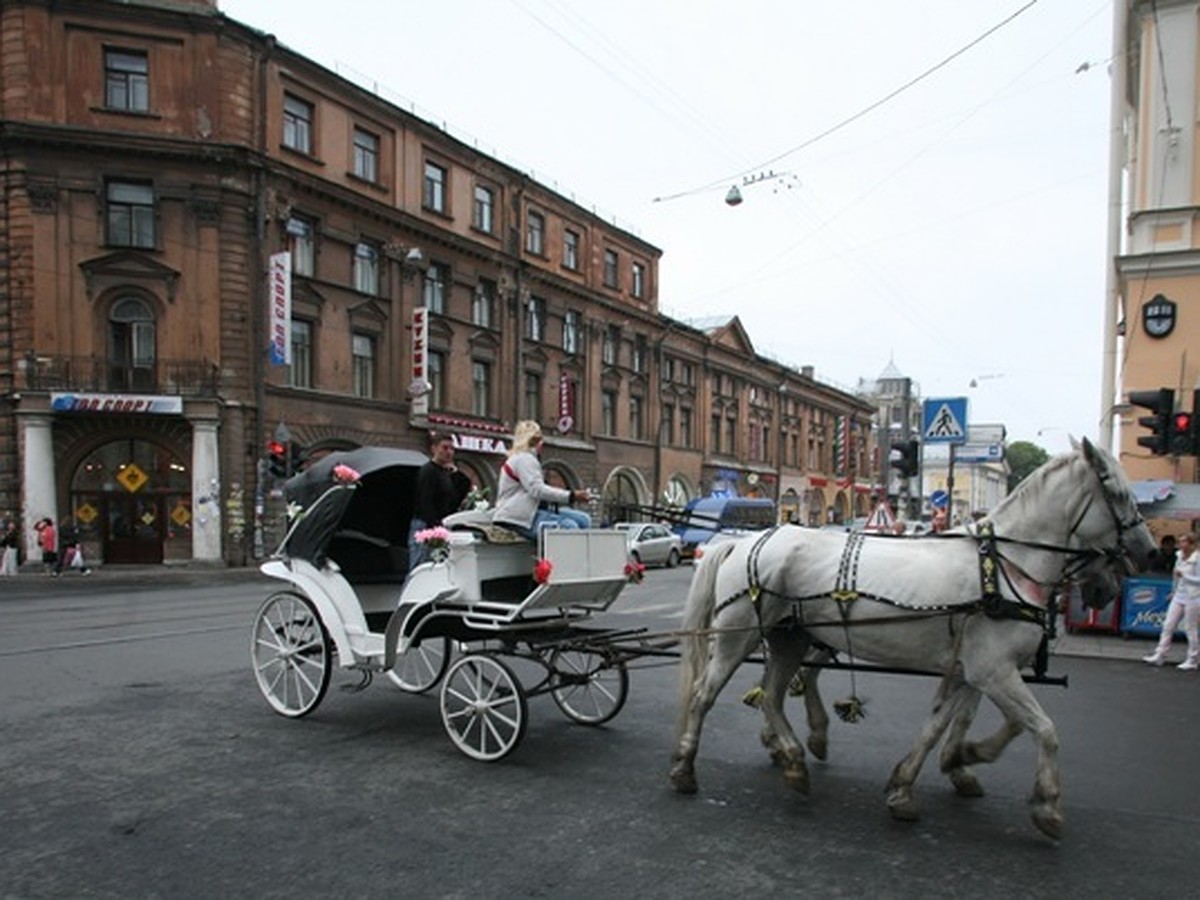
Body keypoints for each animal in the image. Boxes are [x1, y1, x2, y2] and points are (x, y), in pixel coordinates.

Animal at [672, 441, 1156, 844]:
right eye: (1116, 491)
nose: (1148, 552)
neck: (1003, 566)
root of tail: (743, 542)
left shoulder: (972, 671)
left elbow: (941, 726)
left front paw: (918, 781)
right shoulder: (994, 671)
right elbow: (1045, 729)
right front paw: (1048, 806)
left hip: (789, 639)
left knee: (772, 695)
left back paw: (793, 760)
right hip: (737, 637)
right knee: (702, 695)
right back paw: (684, 768)